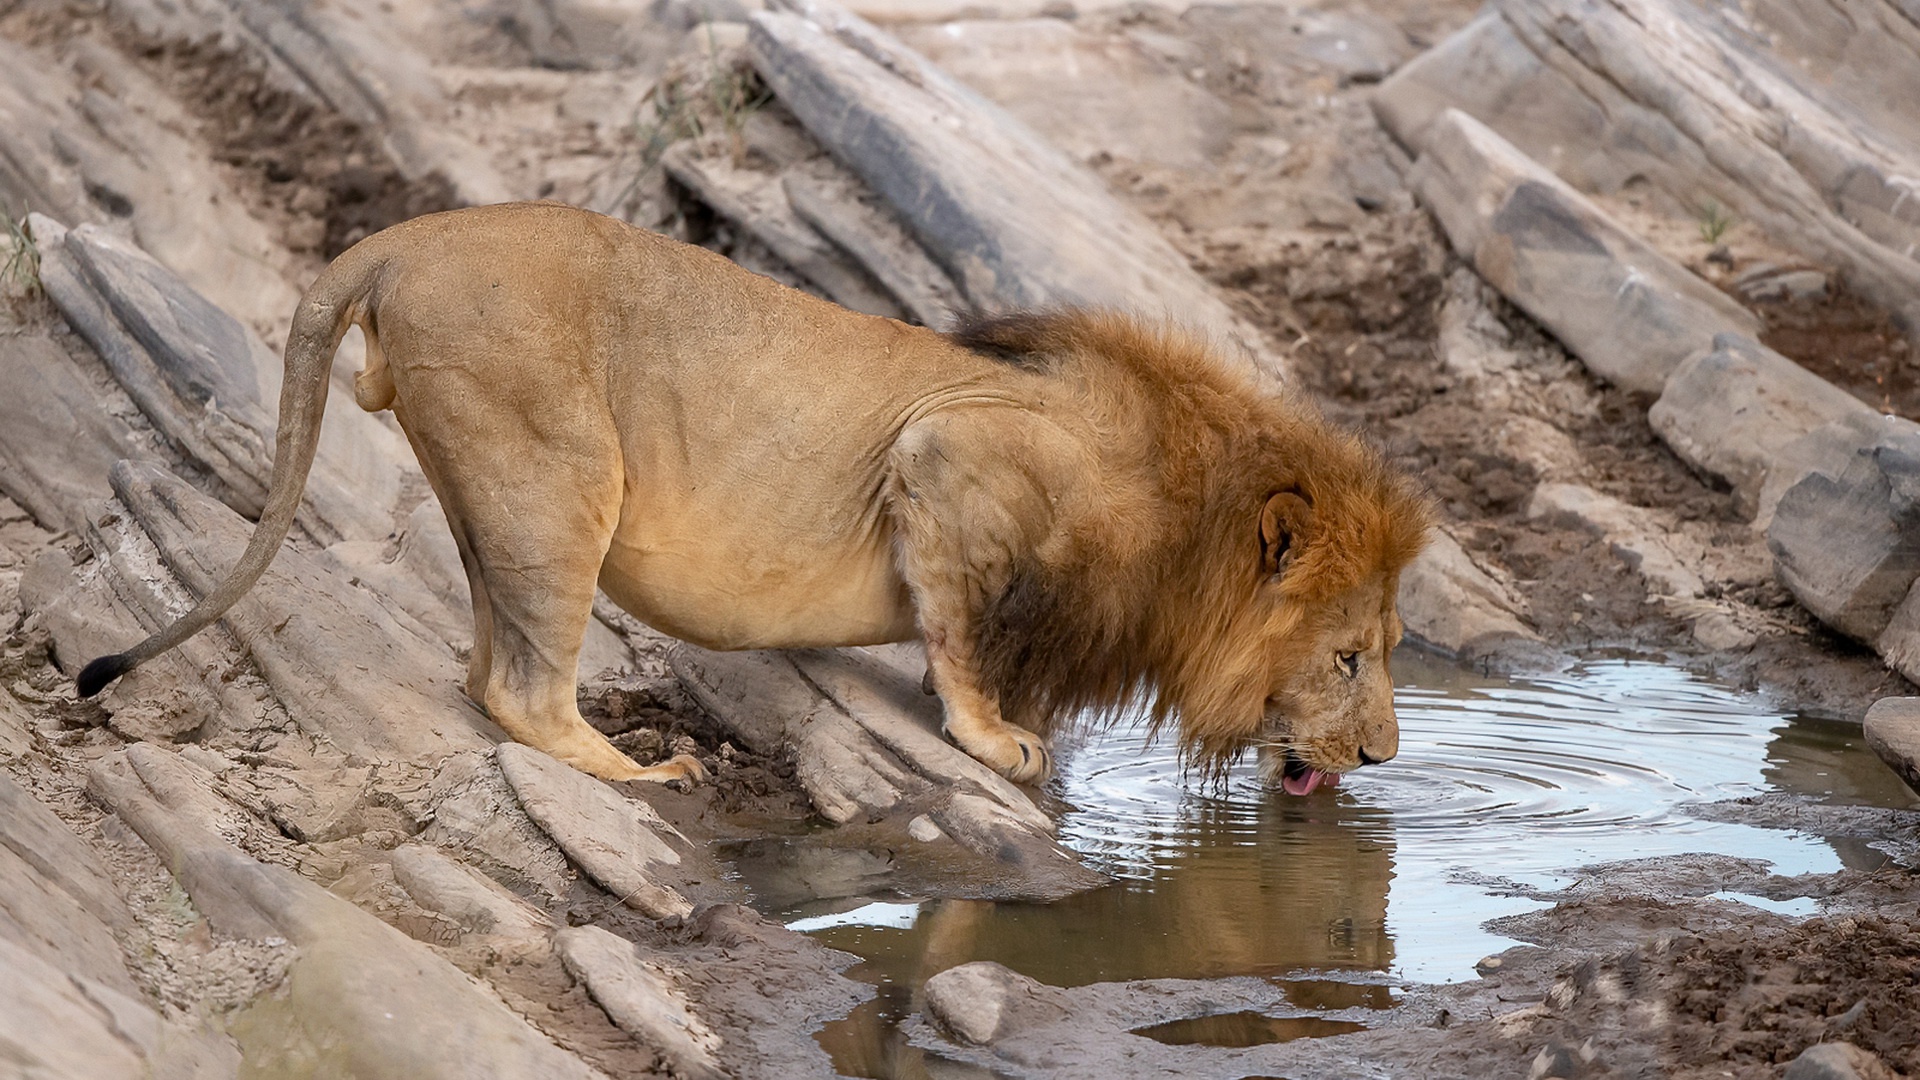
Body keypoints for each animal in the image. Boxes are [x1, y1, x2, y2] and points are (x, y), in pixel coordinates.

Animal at [82, 201, 1436, 791]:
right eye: (1351, 658)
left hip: (493, 483)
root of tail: (407, 234)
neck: (1183, 517)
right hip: (561, 475)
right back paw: (639, 774)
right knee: (521, 690)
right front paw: (993, 737)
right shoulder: (947, 455)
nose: (1380, 758)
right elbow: (961, 639)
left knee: (481, 660)